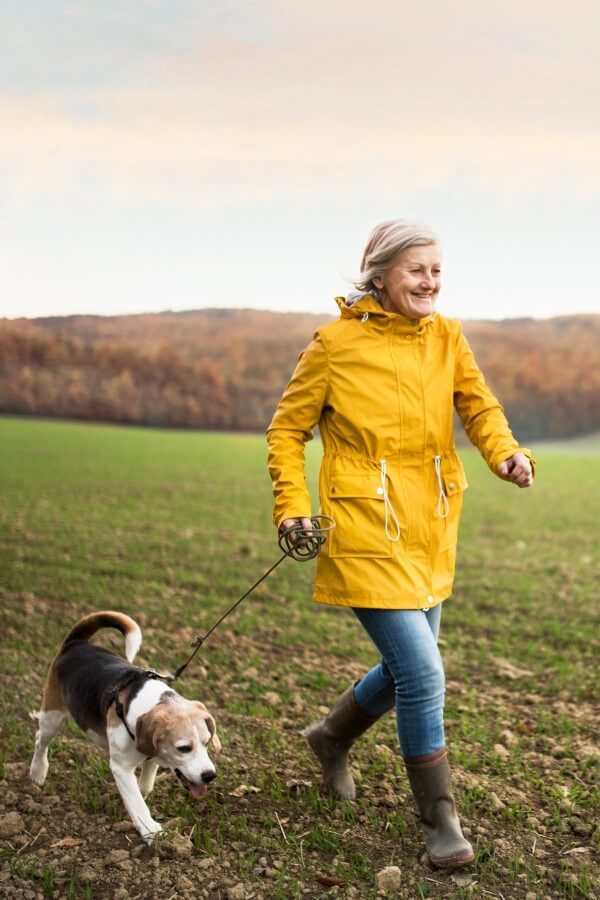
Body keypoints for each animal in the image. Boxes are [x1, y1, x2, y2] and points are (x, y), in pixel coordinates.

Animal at [29, 612, 221, 844]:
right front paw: (152, 832)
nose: (210, 776)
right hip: (53, 715)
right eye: (183, 748)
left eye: (207, 743)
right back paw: (37, 772)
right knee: (41, 739)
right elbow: (137, 802)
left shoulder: (152, 753)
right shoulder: (121, 767)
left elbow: (145, 782)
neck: (150, 703)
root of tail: (76, 643)